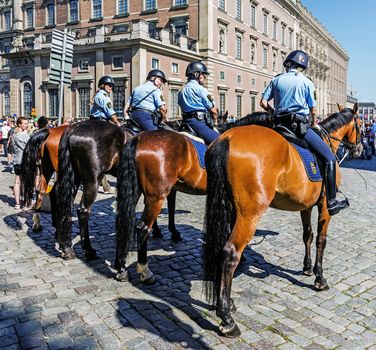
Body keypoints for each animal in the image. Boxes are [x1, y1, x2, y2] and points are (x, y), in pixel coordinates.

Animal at [204, 105, 362, 338]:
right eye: (360, 124)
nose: (359, 148)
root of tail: (227, 137)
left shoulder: (305, 205)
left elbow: (307, 235)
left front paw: (307, 267)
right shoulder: (324, 205)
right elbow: (321, 240)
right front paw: (320, 278)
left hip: (230, 208)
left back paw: (226, 303)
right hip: (249, 215)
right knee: (230, 253)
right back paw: (227, 319)